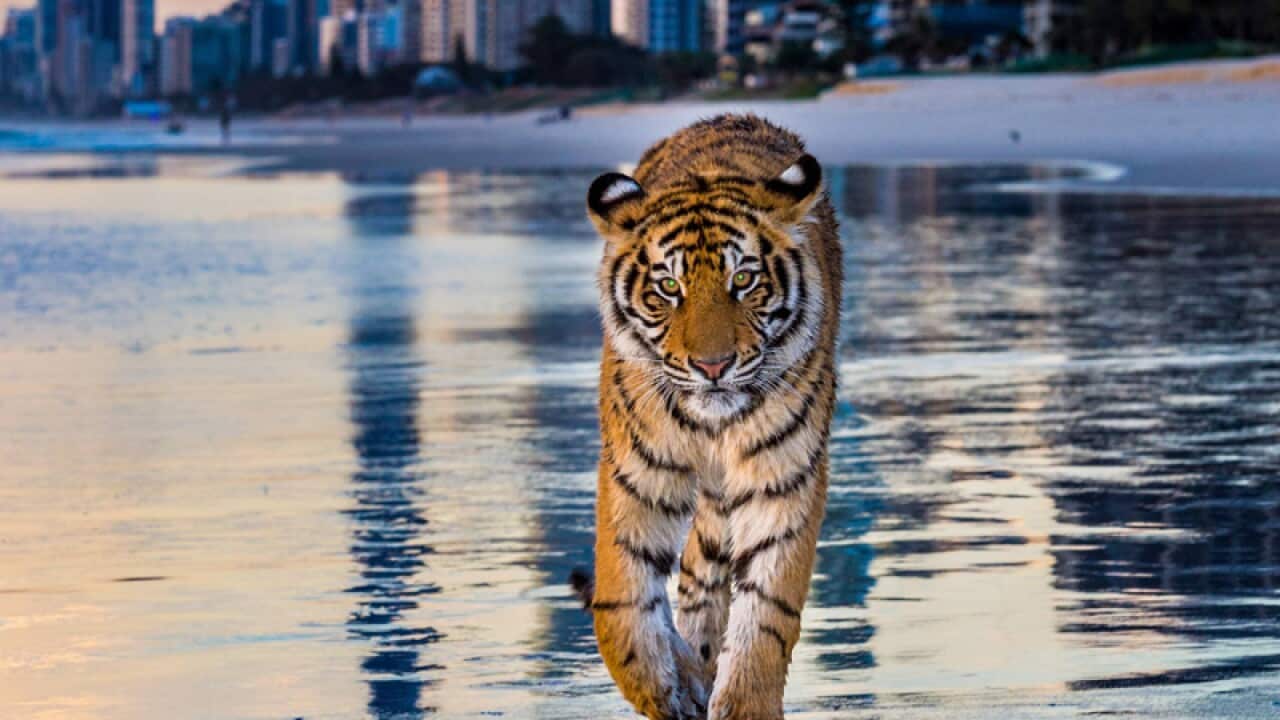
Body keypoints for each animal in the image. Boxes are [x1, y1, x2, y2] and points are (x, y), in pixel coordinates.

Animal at [573, 113, 842, 720]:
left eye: (742, 280)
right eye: (668, 287)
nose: (713, 366)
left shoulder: (783, 477)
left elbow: (767, 611)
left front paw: (742, 702)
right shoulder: (637, 473)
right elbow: (620, 605)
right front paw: (660, 690)